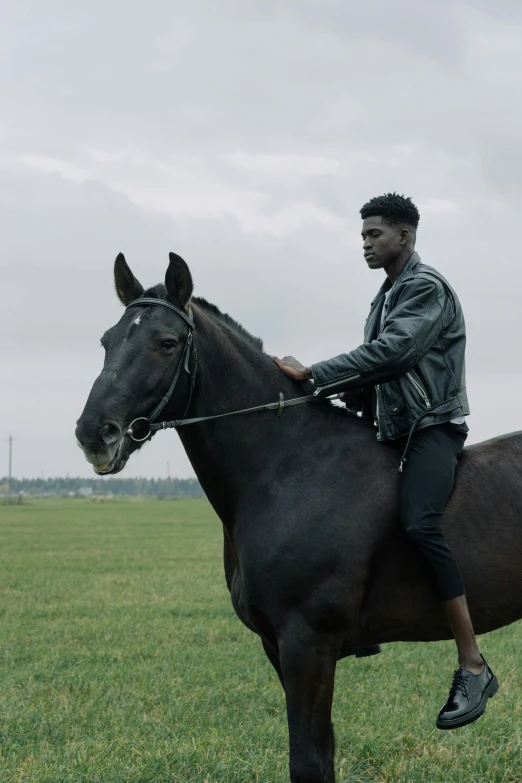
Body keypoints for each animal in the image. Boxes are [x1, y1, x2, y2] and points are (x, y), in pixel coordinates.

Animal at [75, 253, 520, 783]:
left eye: (167, 343)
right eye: (107, 340)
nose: (94, 434)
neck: (289, 468)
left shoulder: (308, 644)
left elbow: (307, 761)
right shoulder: (278, 647)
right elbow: (320, 757)